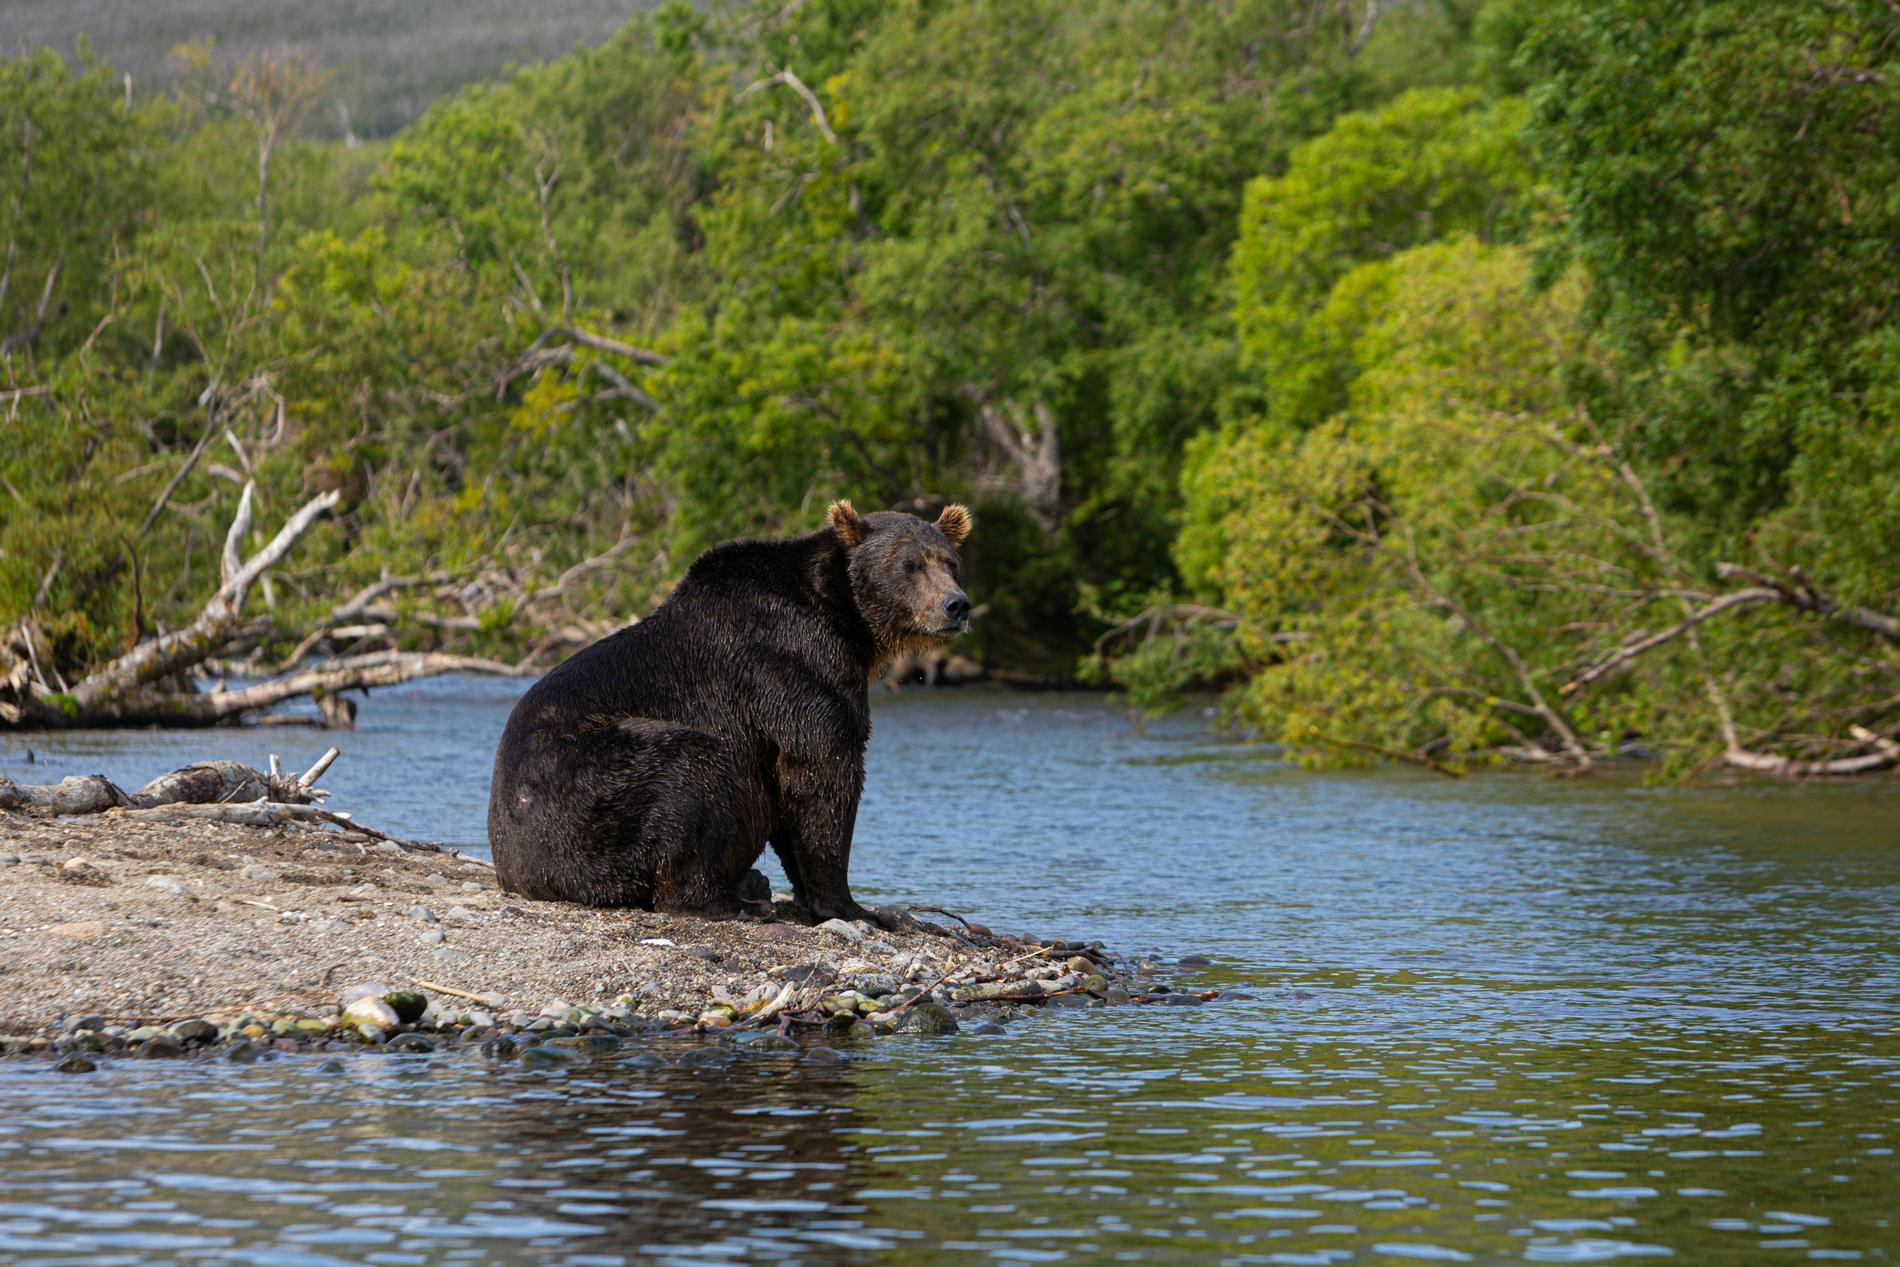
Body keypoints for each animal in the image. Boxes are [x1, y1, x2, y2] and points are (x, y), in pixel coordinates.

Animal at [482, 501, 972, 926]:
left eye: (950, 563)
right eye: (909, 565)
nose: (956, 604)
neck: (846, 619)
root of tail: (514, 870)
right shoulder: (793, 665)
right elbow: (822, 772)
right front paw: (854, 906)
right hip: (587, 792)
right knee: (691, 769)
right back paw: (732, 901)